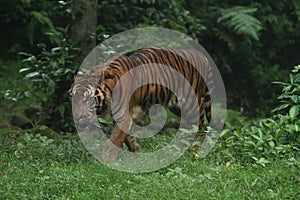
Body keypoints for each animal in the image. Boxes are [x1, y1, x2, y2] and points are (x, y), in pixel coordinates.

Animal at [69, 46, 212, 161]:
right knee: (189, 127)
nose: (77, 117)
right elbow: (128, 137)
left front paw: (106, 162)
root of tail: (201, 55)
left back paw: (194, 152)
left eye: (88, 99)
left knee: (201, 127)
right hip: (177, 106)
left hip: (192, 104)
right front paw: (137, 151)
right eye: (72, 97)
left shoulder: (123, 117)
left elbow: (114, 141)